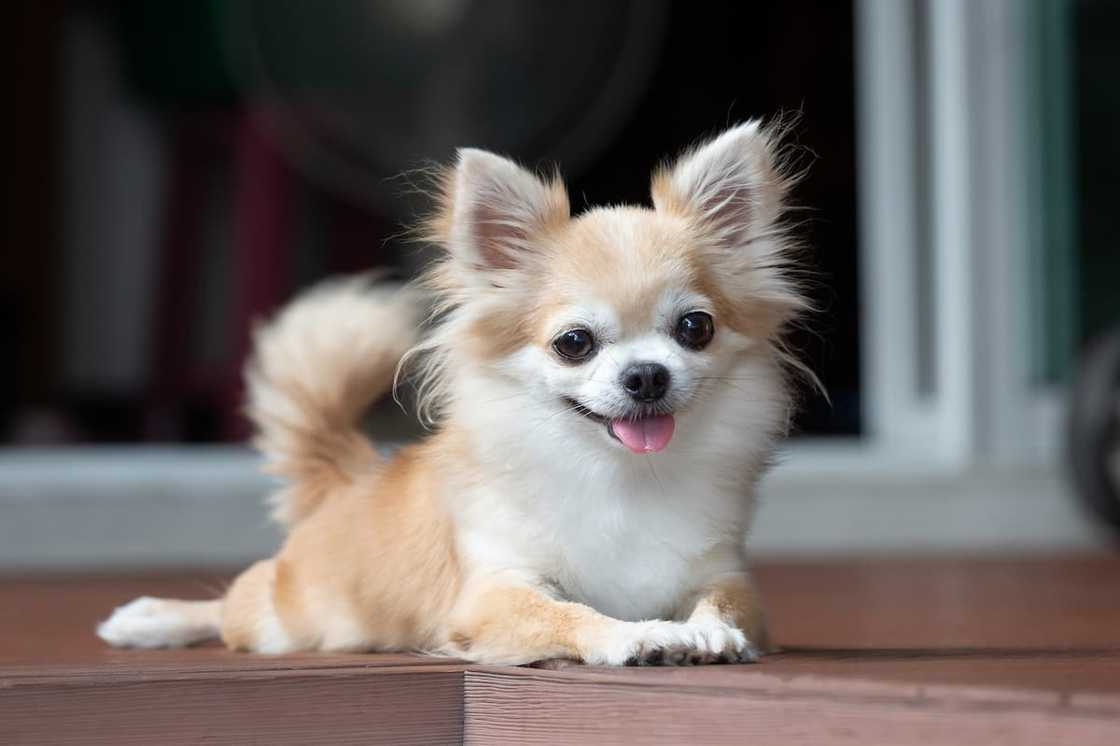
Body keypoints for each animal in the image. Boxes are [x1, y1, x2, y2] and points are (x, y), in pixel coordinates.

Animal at [98, 120, 806, 663]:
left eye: (695, 328)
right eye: (574, 342)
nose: (646, 375)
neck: (619, 475)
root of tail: (353, 475)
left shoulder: (727, 575)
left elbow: (722, 602)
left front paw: (705, 631)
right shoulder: (495, 591)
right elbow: (572, 614)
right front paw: (639, 635)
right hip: (284, 618)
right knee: (232, 604)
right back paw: (151, 618)